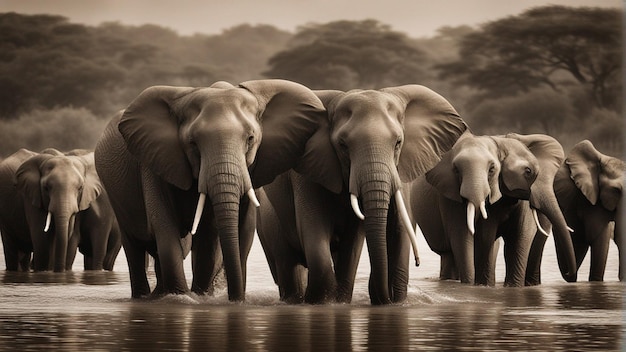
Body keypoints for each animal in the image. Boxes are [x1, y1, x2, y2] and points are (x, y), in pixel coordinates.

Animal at [94, 79, 326, 300]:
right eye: (193, 143)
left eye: (250, 139)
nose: (236, 299)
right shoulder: (153, 161)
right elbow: (165, 230)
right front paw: (182, 298)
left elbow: (219, 239)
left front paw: (203, 297)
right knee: (134, 246)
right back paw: (145, 296)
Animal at [256, 86, 466, 306]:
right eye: (343, 145)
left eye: (398, 143)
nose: (418, 262)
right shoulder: (307, 173)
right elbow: (316, 234)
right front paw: (323, 303)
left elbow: (356, 242)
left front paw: (342, 302)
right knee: (287, 264)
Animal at [404, 132, 576, 286]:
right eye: (456, 170)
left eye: (492, 169)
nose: (568, 273)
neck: (501, 142)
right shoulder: (450, 195)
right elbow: (471, 235)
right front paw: (478, 285)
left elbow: (519, 237)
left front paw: (512, 287)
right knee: (450, 253)